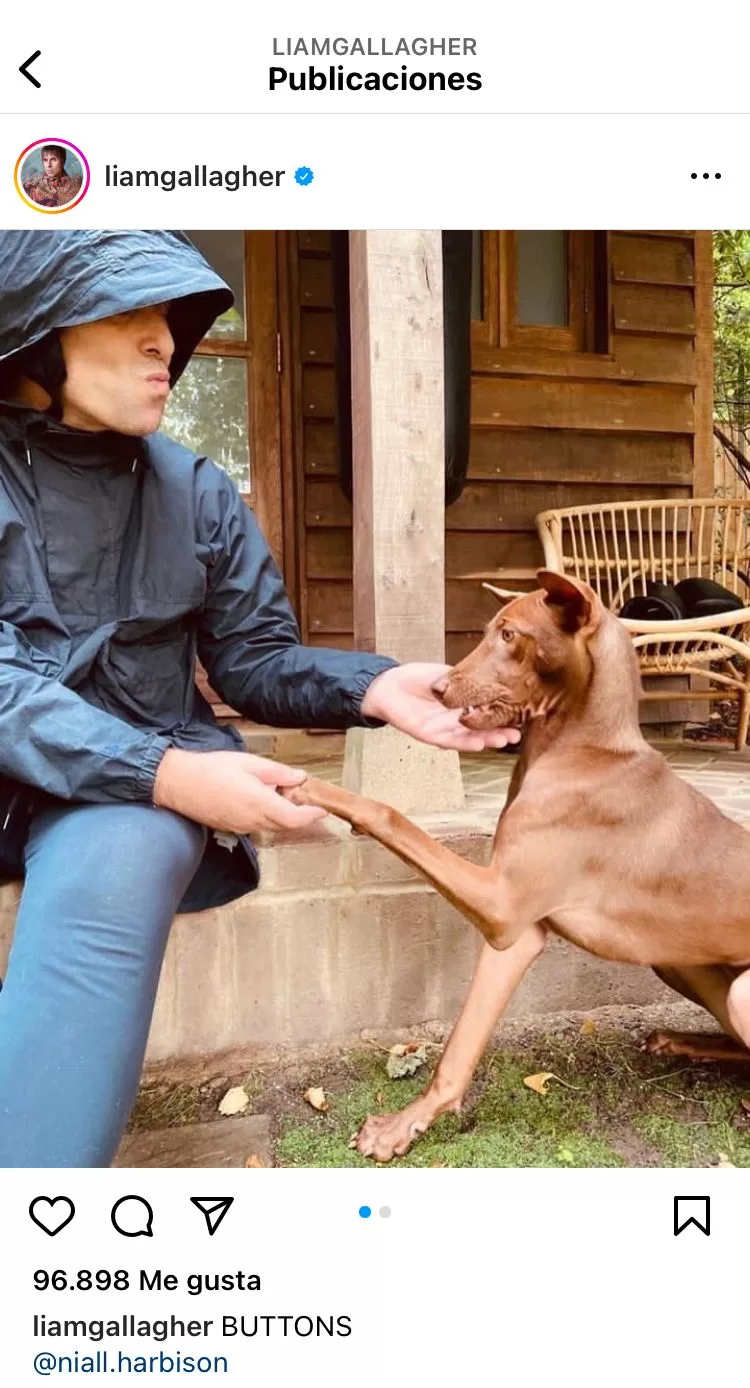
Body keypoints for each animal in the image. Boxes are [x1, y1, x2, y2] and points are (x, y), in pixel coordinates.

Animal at [284, 571, 750, 1160]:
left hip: (738, 990)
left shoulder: (502, 907)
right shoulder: (519, 934)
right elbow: (459, 1051)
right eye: (489, 630)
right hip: (679, 961)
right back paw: (681, 1042)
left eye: (509, 635)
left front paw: (312, 788)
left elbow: (390, 813)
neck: (584, 750)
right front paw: (412, 1122)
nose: (438, 689)